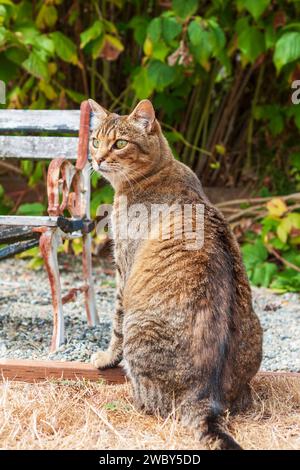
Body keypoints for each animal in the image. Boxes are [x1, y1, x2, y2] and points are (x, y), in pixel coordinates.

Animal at [88, 97, 262, 450]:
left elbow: (114, 325)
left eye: (119, 143)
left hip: (140, 328)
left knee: (149, 401)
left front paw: (106, 358)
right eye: (95, 141)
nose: (97, 159)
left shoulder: (123, 270)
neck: (158, 171)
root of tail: (205, 398)